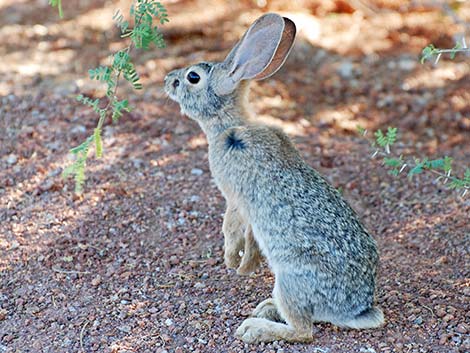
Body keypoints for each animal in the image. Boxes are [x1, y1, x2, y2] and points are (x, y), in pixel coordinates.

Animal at [163, 13, 384, 340]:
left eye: (193, 77)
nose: (168, 79)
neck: (227, 125)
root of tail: (356, 309)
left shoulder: (236, 199)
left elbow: (232, 228)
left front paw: (233, 261)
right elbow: (248, 236)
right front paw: (244, 266)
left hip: (291, 280)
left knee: (303, 331)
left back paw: (255, 328)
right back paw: (266, 308)